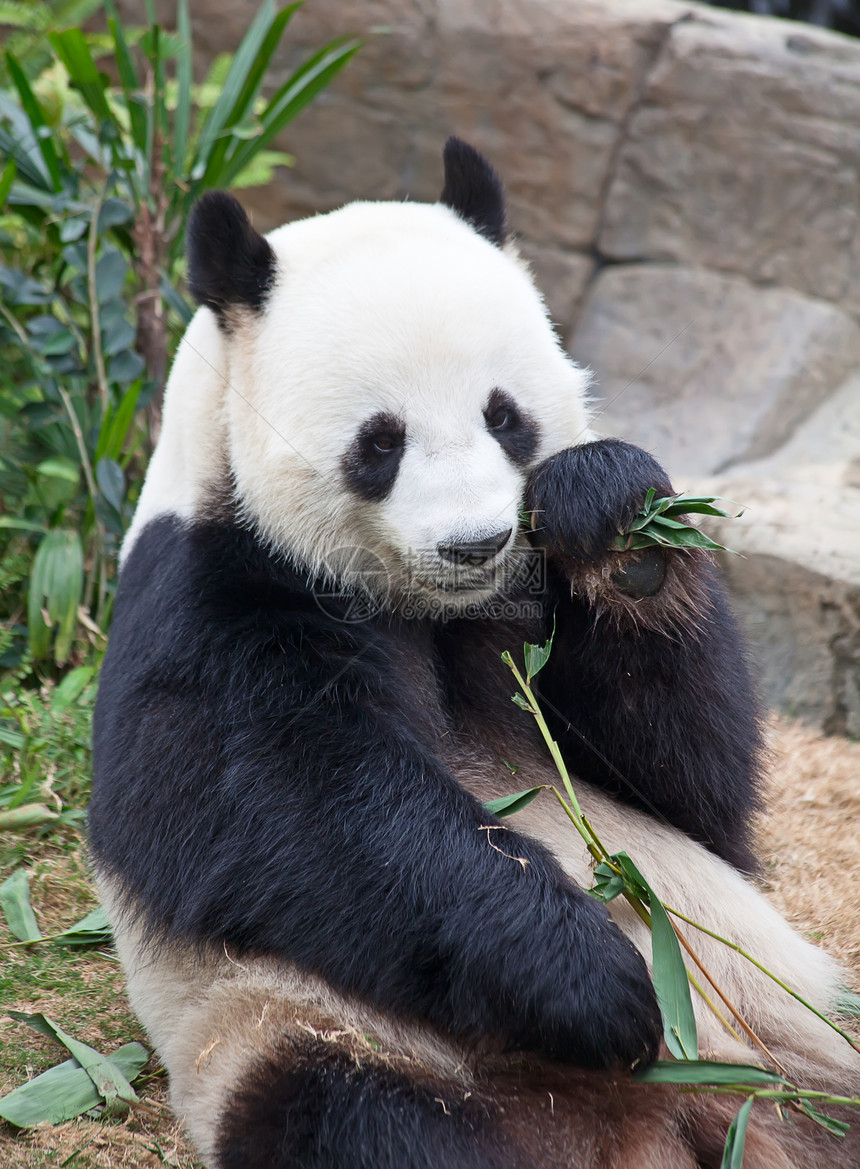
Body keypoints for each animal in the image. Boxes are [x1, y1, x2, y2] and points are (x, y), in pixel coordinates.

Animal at [87, 141, 860, 1164]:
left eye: (505, 415)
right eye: (380, 441)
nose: (475, 544)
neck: (428, 608)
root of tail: (678, 1116)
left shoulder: (523, 620)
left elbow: (697, 796)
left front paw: (617, 526)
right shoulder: (210, 597)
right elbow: (289, 806)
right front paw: (600, 982)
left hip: (801, 1041)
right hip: (332, 1044)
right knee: (361, 1117)